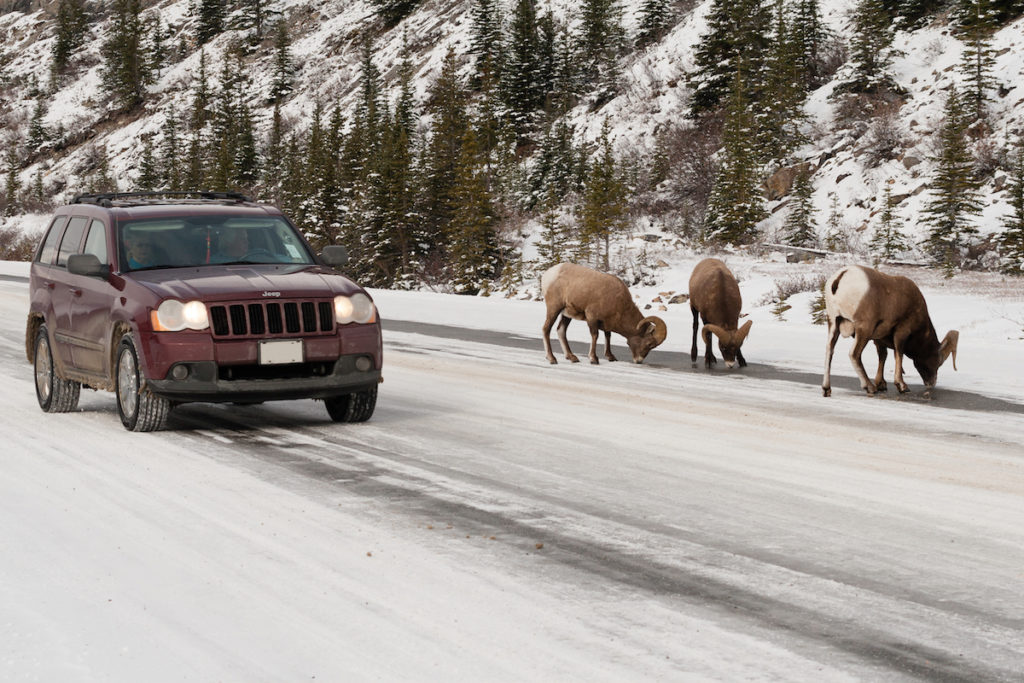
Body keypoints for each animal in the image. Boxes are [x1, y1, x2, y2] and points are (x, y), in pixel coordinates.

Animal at [819, 264, 954, 397]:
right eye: (936, 360)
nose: (931, 383)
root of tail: (841, 278)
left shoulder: (879, 338)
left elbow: (883, 356)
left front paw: (881, 384)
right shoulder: (901, 331)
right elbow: (898, 354)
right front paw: (902, 386)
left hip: (833, 323)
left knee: (829, 350)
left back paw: (826, 389)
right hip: (864, 329)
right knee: (854, 354)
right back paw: (870, 387)